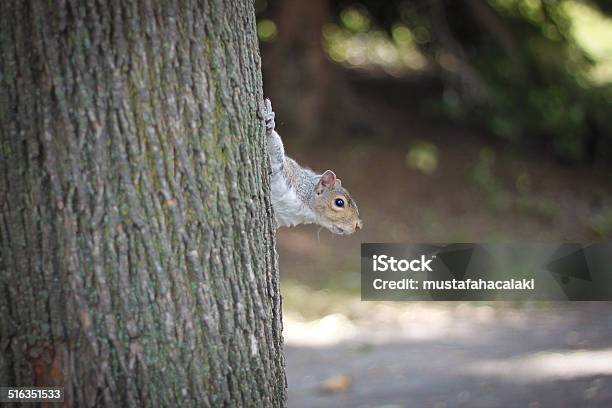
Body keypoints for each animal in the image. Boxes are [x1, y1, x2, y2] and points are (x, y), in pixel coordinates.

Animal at [264, 97, 364, 236]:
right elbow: (275, 151)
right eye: (339, 202)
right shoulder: (284, 173)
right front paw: (270, 126)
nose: (358, 225)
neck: (305, 209)